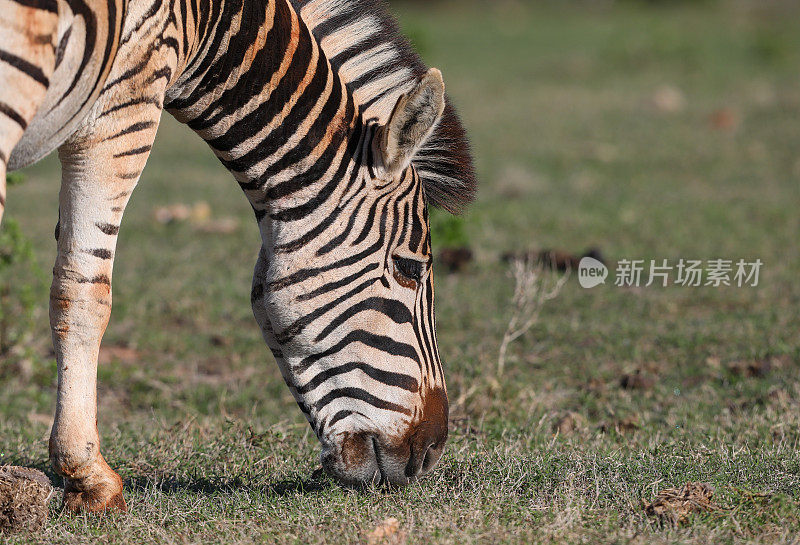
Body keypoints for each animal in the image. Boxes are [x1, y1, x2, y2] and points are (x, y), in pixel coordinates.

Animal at [0, 0, 476, 510]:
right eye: (410, 269)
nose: (431, 454)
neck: (207, 22)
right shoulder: (122, 106)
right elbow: (84, 295)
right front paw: (90, 478)